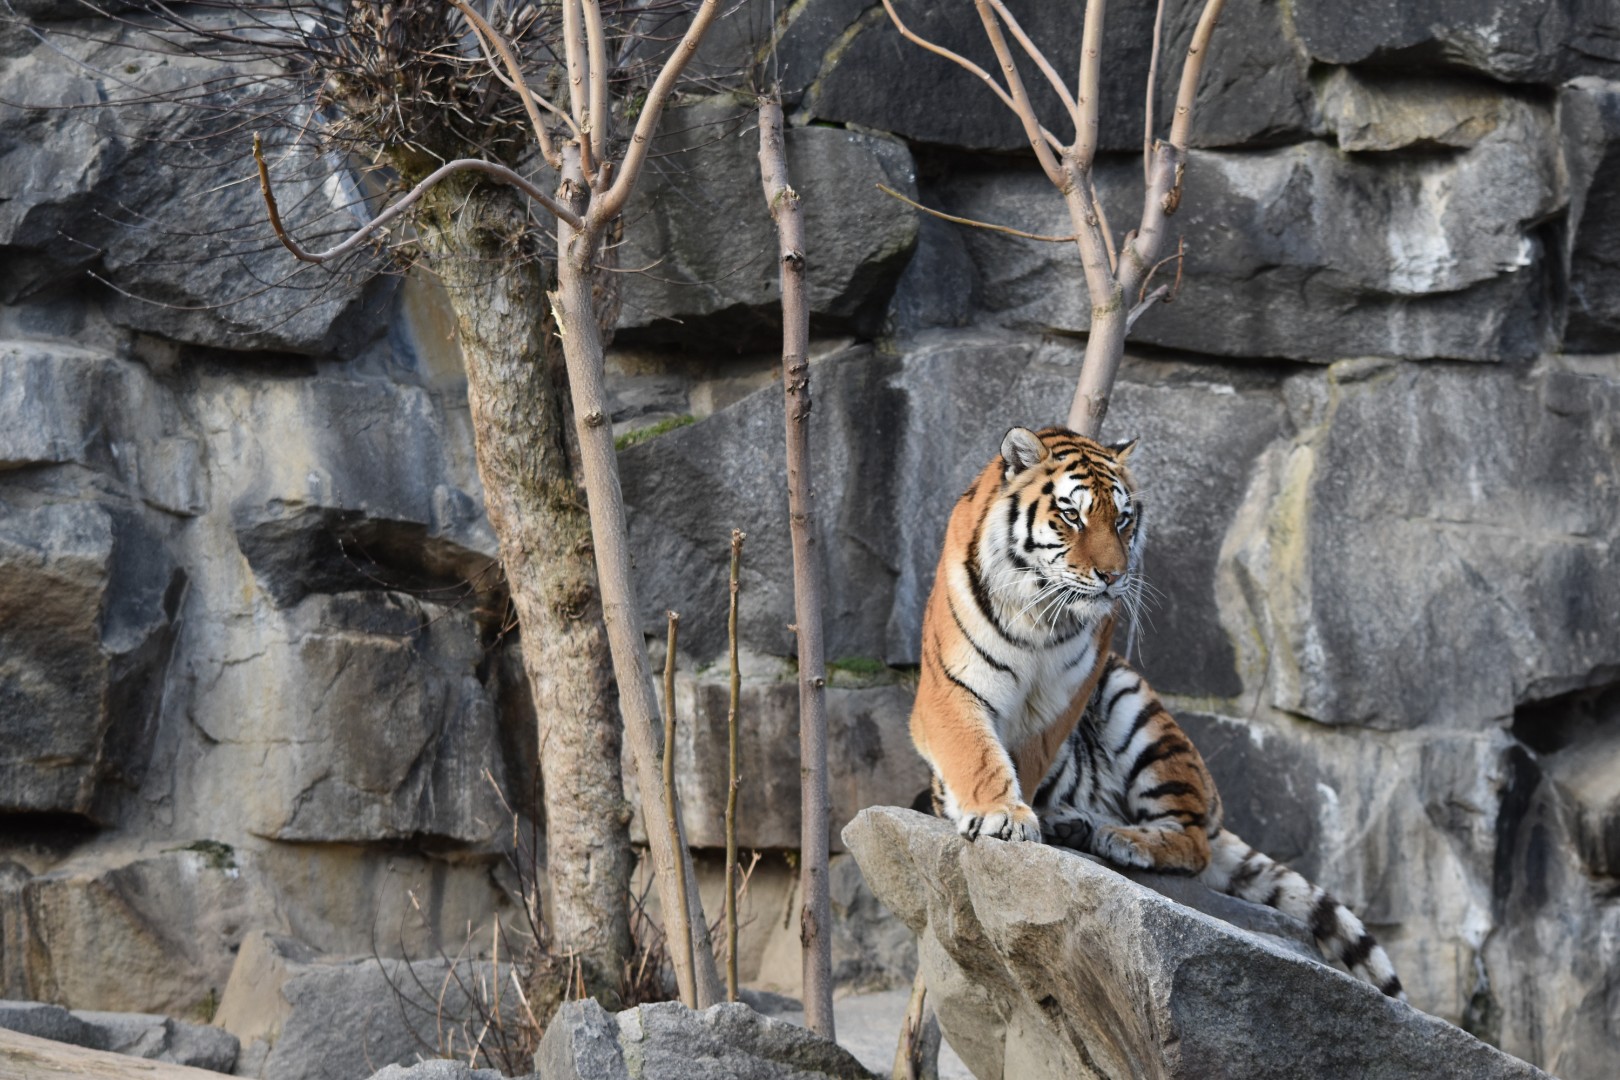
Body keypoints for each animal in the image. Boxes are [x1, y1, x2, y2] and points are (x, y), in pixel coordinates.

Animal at [909, 425, 1404, 999]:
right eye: (1071, 515)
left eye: (1122, 519)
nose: (1112, 576)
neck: (1039, 614)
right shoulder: (950, 685)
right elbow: (976, 753)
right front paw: (1001, 814)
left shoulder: (1067, 696)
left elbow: (1029, 757)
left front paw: (1018, 815)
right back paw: (1070, 824)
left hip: (1137, 708)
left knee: (1193, 841)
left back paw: (1120, 839)